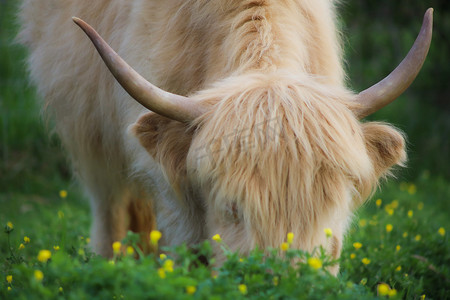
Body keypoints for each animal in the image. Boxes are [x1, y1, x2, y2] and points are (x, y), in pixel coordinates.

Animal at [18, 0, 432, 274]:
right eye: (232, 206)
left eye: (329, 203)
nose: (285, 279)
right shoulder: (172, 193)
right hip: (89, 135)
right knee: (111, 208)